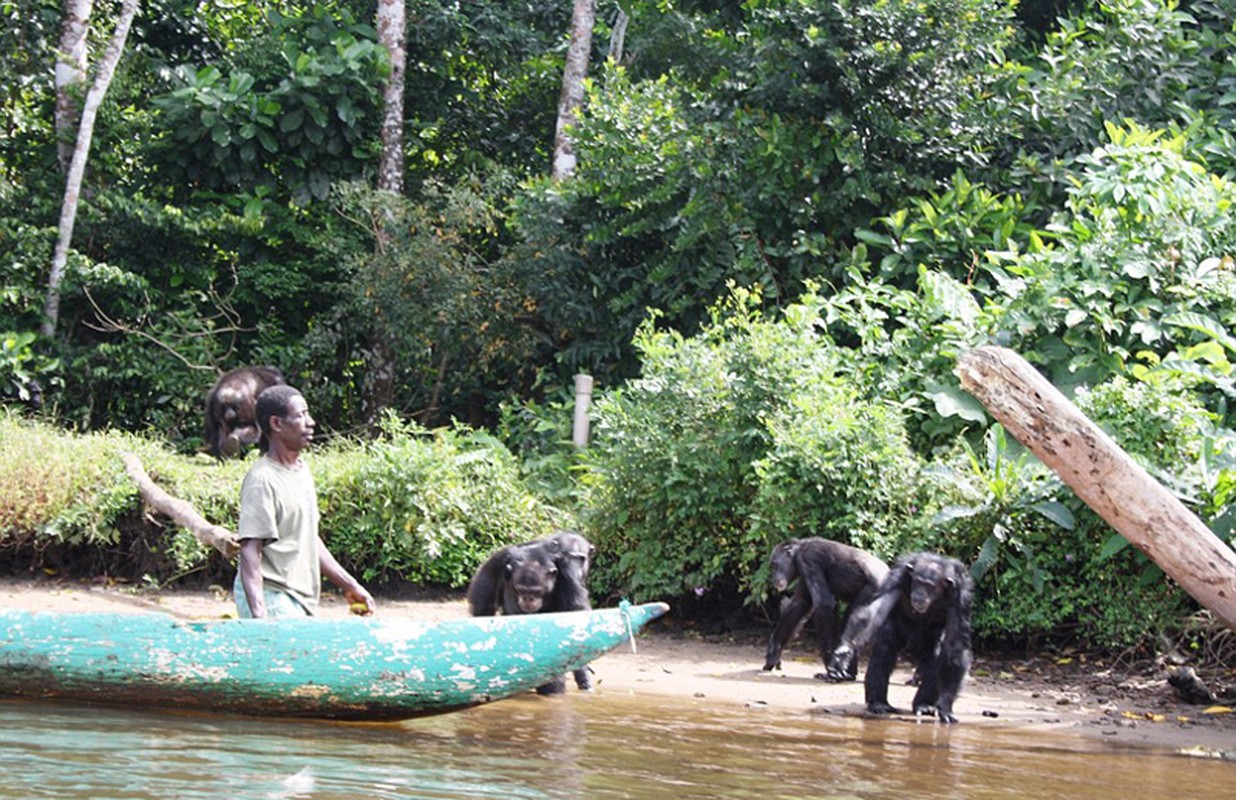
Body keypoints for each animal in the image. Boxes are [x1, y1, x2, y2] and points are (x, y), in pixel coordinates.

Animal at [464, 531, 595, 692]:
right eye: (521, 590)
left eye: (581, 559)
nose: (528, 598)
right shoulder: (501, 558)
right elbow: (485, 592)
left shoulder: (569, 578)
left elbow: (577, 613)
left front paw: (583, 675)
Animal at [761, 539, 889, 677]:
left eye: (774, 565)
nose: (774, 578)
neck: (799, 551)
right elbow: (799, 604)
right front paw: (773, 652)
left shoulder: (808, 560)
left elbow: (823, 603)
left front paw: (830, 666)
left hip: (873, 591)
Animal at [830, 553, 973, 722]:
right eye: (917, 582)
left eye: (929, 586)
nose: (919, 593)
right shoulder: (898, 578)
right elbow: (873, 614)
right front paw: (843, 654)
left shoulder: (960, 597)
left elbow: (954, 645)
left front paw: (945, 706)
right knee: (885, 645)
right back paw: (878, 703)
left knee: (937, 652)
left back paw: (923, 705)